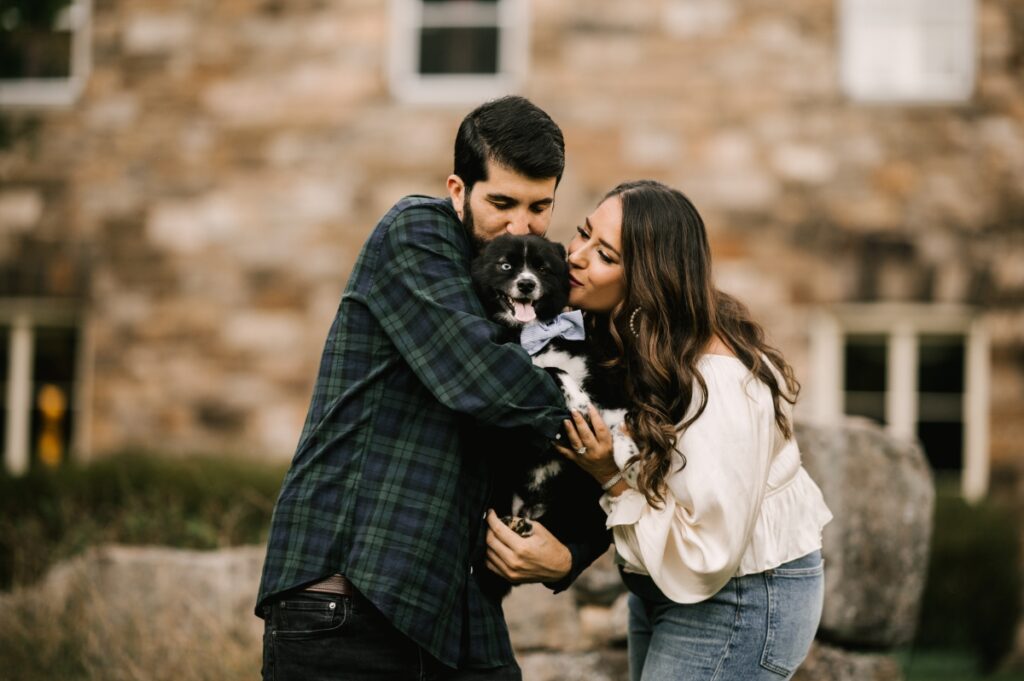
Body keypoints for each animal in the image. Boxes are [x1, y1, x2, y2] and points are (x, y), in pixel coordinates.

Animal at [468, 235, 630, 602]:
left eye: (543, 268)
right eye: (506, 265)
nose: (527, 284)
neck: (536, 334)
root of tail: (532, 510)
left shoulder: (598, 375)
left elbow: (616, 412)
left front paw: (624, 444)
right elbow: (554, 372)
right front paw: (578, 402)